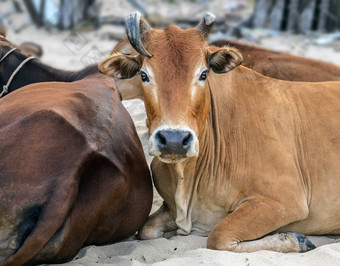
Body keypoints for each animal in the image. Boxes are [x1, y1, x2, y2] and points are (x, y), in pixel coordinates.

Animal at [100, 11, 340, 254]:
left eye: (204, 74)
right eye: (144, 75)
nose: (174, 140)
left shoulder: (285, 202)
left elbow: (218, 236)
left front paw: (294, 240)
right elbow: (146, 230)